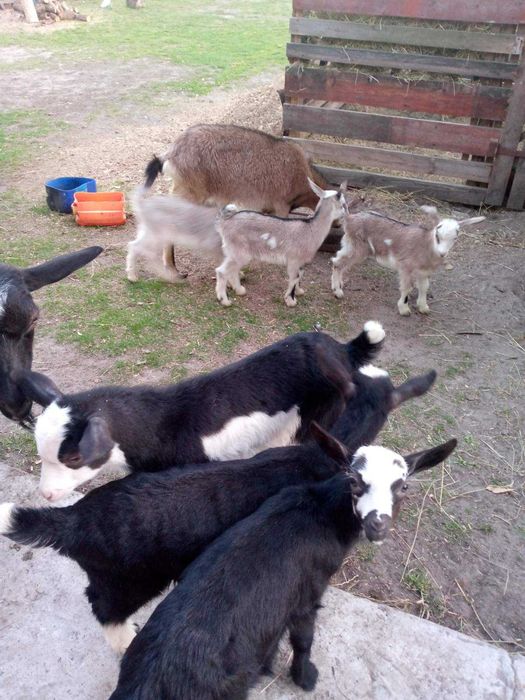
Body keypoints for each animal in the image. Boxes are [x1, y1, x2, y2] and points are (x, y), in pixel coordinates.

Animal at [0, 363, 437, 654]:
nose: (47, 493)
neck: (316, 455)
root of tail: (72, 520)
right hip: (128, 579)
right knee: (104, 607)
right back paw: (126, 641)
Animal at [109, 433, 457, 699]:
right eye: (354, 481)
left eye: (403, 486)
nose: (377, 525)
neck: (321, 512)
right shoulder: (308, 593)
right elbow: (303, 639)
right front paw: (305, 677)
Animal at [215, 180, 355, 307]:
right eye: (344, 205)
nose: (348, 216)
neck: (311, 229)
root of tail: (225, 222)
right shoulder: (294, 260)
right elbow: (294, 277)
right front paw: (290, 301)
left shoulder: (301, 261)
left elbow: (300, 275)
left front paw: (299, 291)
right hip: (239, 251)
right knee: (221, 271)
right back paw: (224, 300)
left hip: (233, 251)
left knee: (232, 269)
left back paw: (239, 290)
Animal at [331, 205, 485, 315]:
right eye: (437, 235)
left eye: (455, 238)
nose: (442, 253)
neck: (426, 246)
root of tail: (350, 218)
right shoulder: (406, 267)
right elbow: (407, 287)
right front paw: (404, 309)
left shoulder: (423, 271)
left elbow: (424, 287)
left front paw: (423, 307)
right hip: (356, 247)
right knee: (337, 263)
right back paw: (337, 292)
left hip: (352, 246)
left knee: (339, 260)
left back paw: (338, 285)